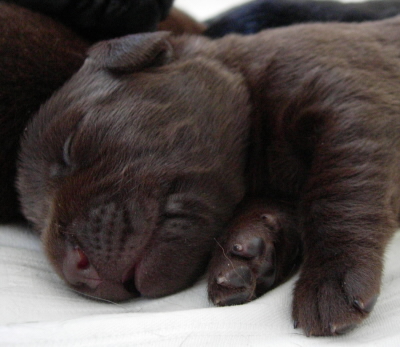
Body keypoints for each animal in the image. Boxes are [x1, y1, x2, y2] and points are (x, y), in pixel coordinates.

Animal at [17, 17, 400, 338]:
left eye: (70, 145)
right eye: (34, 223)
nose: (74, 268)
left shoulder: (347, 103)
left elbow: (337, 194)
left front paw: (329, 280)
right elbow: (274, 206)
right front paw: (244, 255)